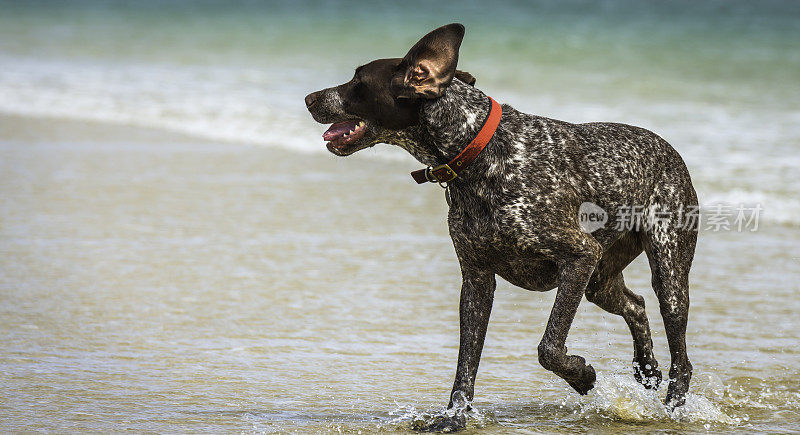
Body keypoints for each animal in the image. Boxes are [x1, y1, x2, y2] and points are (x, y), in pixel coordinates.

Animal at [304, 23, 696, 430]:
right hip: (600, 282)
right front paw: (454, 417)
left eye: (358, 81)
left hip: (666, 275)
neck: (480, 153)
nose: (308, 99)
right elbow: (466, 365)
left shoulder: (580, 256)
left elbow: (549, 347)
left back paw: (672, 405)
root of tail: (669, 149)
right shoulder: (477, 280)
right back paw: (646, 368)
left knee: (680, 358)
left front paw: (582, 375)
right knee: (636, 306)